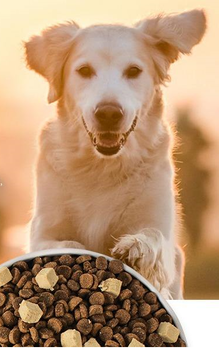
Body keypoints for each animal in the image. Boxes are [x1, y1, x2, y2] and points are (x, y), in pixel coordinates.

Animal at [24, 8, 206, 298]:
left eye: (133, 71)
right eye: (84, 70)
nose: (109, 113)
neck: (101, 167)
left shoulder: (163, 234)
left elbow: (153, 237)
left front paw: (137, 249)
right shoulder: (42, 231)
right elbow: (62, 244)